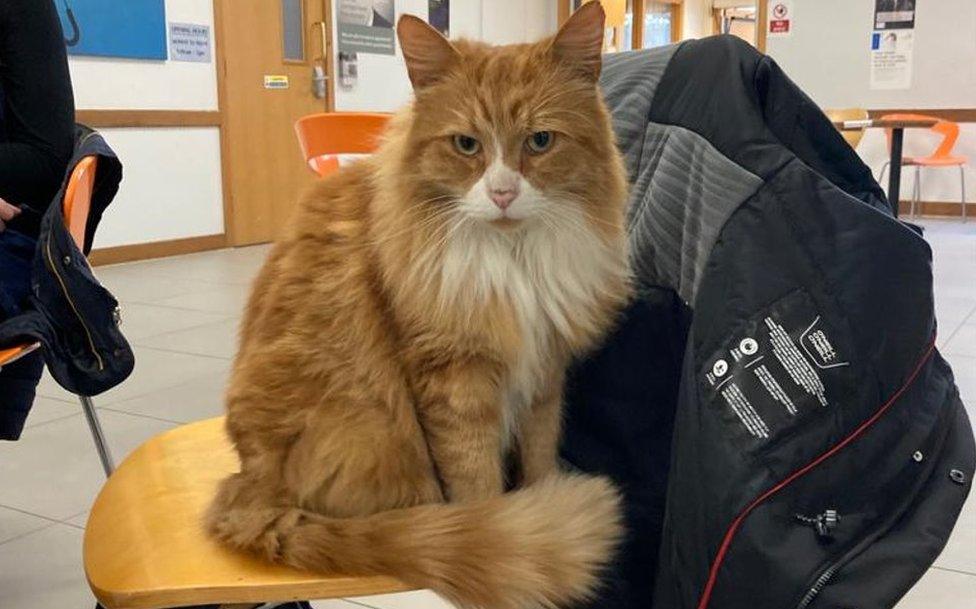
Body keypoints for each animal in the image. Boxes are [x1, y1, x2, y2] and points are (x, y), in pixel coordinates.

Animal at [208, 2, 632, 604]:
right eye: (466, 146)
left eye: (540, 141)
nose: (502, 193)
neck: (514, 260)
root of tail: (249, 488)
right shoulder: (455, 382)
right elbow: (477, 485)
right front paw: (498, 532)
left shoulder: (544, 373)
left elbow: (539, 456)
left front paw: (541, 499)